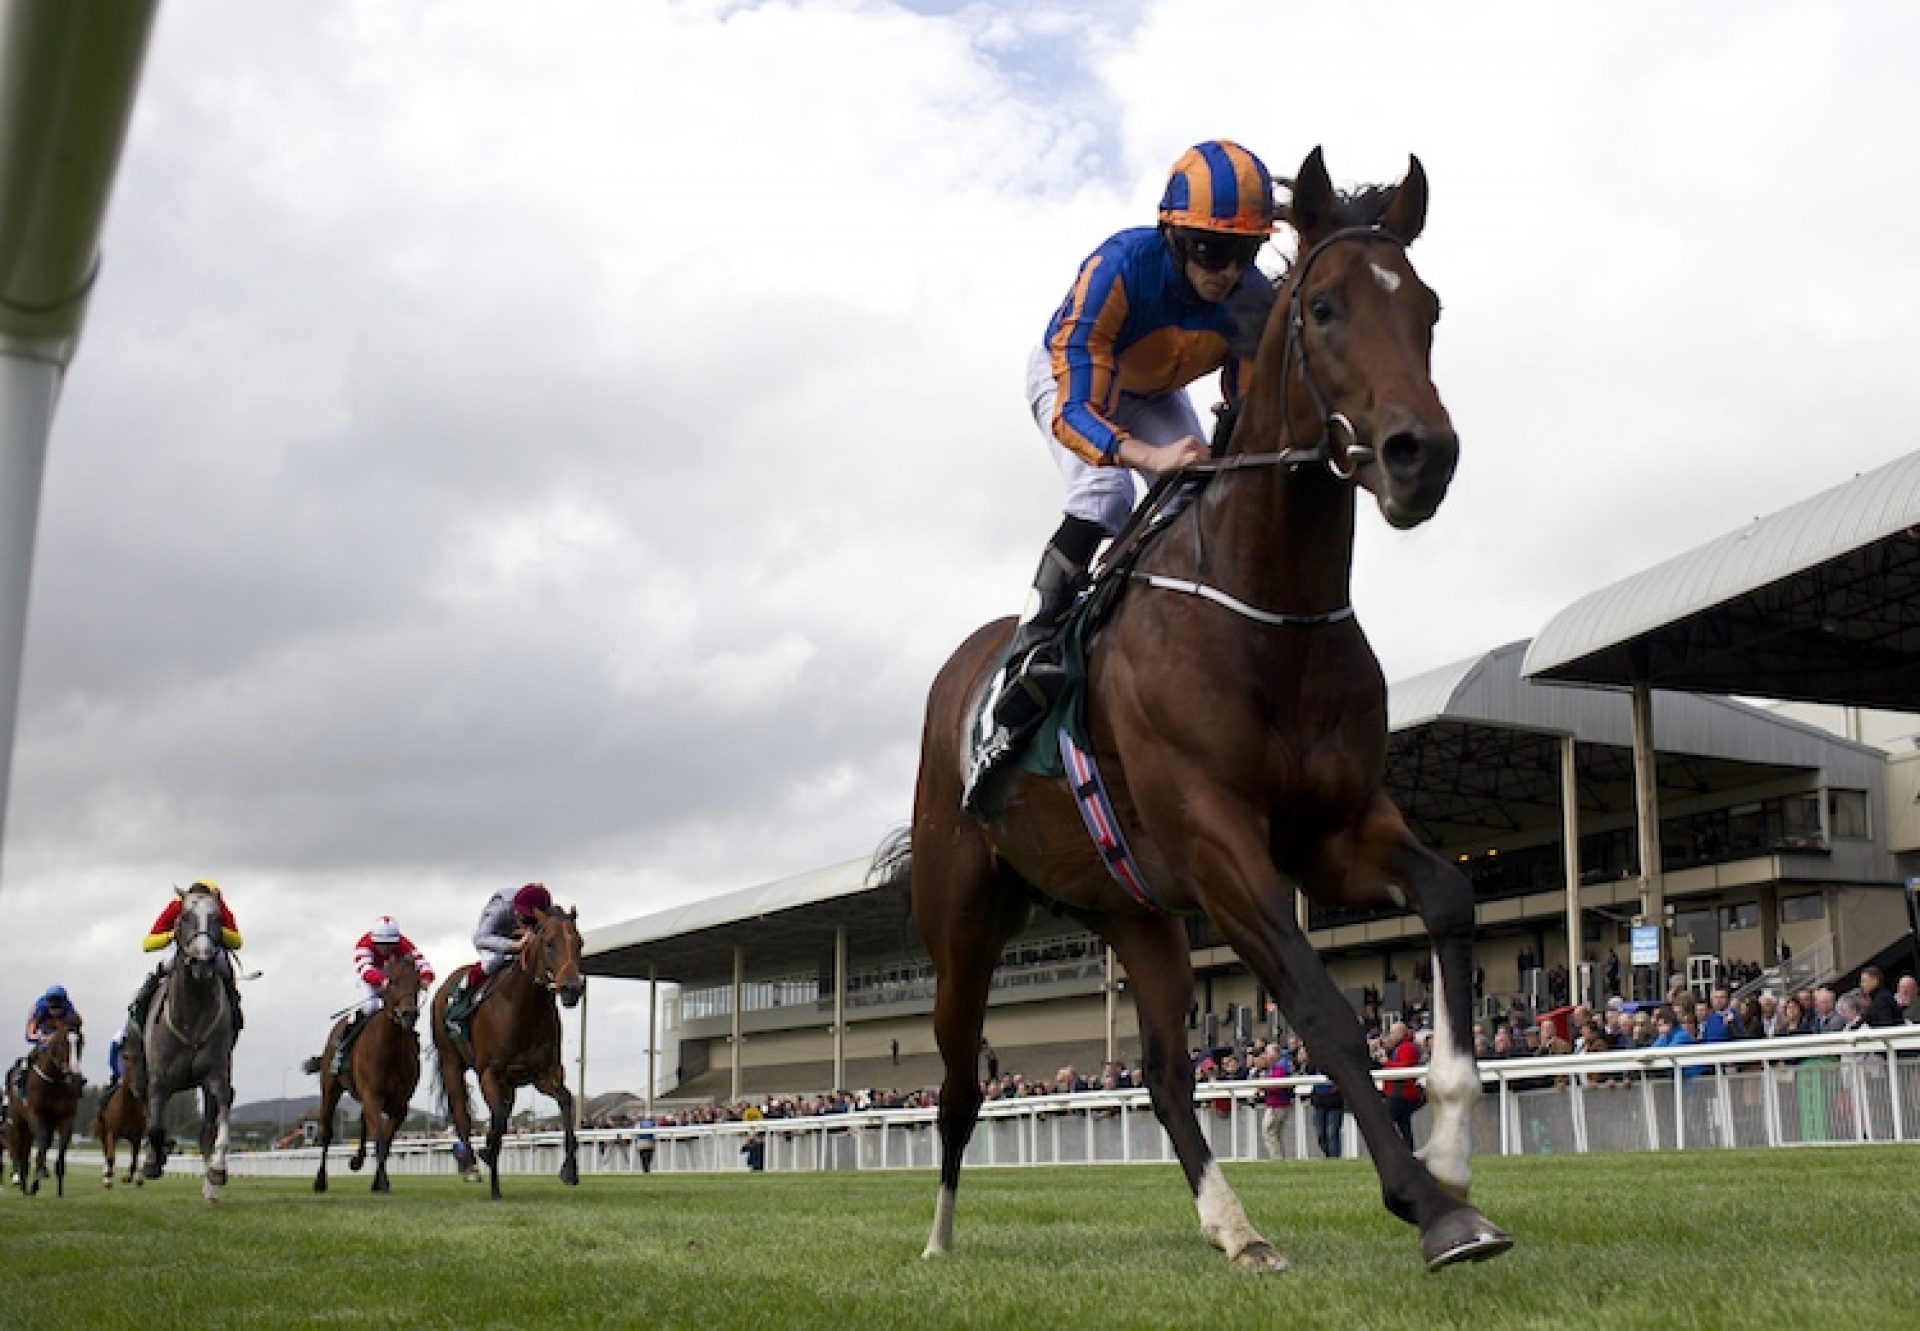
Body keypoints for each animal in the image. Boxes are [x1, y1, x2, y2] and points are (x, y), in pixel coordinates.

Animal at [4, 1014, 81, 1190]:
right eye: (63, 1043)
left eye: (80, 1043)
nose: (75, 1075)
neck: (52, 1081)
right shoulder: (35, 1112)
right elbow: (42, 1139)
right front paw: (39, 1172)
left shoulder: (66, 1116)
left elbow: (61, 1143)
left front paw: (57, 1171)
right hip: (17, 1120)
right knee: (16, 1143)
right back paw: (18, 1176)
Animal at [305, 948, 426, 1190]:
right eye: (393, 981)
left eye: (417, 982)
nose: (408, 1014)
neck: (389, 1050)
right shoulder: (372, 1094)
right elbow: (378, 1138)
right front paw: (382, 1182)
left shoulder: (400, 1104)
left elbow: (385, 1142)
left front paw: (378, 1181)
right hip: (330, 1090)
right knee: (327, 1133)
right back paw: (320, 1180)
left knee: (362, 1121)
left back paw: (357, 1160)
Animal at [430, 902, 583, 1190]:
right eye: (549, 943)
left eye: (580, 942)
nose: (572, 988)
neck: (523, 1008)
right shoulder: (489, 1072)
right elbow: (497, 1116)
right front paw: (489, 1160)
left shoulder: (543, 1073)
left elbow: (566, 1100)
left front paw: (569, 1169)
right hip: (450, 1062)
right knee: (461, 1111)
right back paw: (471, 1165)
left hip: (509, 1082)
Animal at [913, 150, 1512, 1275]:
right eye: (1322, 307)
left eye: (1430, 309)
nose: (1422, 454)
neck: (1267, 611)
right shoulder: (1221, 841)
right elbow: (1321, 1006)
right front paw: (1429, 1205)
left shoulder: (1331, 830)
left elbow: (1451, 896)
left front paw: (1453, 1148)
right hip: (962, 916)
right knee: (960, 1080)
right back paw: (936, 1238)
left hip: (1135, 913)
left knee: (1161, 1067)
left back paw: (1236, 1227)